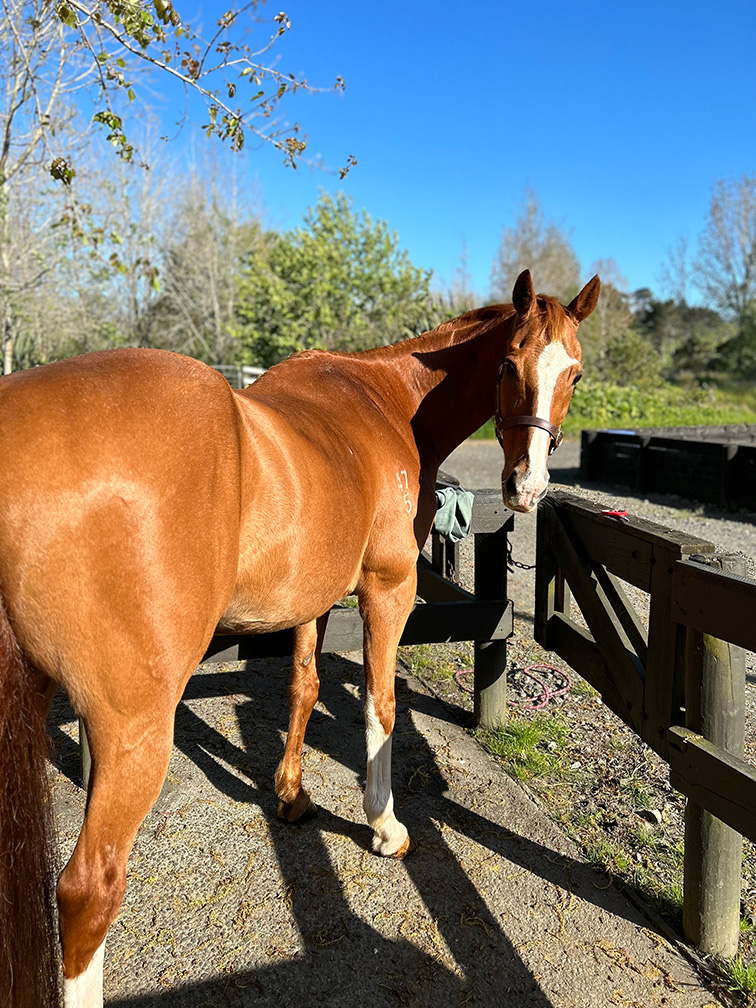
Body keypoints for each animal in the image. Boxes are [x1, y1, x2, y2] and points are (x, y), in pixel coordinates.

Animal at [0, 269, 599, 1007]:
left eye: (575, 372)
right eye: (509, 365)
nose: (527, 486)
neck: (390, 404)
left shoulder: (312, 596)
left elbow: (304, 689)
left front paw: (290, 796)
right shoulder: (387, 588)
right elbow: (379, 705)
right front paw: (384, 826)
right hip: (135, 729)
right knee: (89, 892)